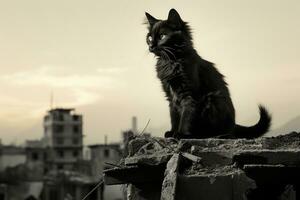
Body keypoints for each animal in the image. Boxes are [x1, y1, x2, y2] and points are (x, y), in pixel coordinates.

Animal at [145, 8, 272, 139]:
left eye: (162, 36)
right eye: (149, 38)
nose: (151, 46)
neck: (170, 62)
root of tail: (233, 124)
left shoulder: (189, 94)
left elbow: (186, 115)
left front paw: (181, 134)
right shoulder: (170, 96)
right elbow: (174, 116)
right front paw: (172, 132)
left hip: (213, 99)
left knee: (225, 132)